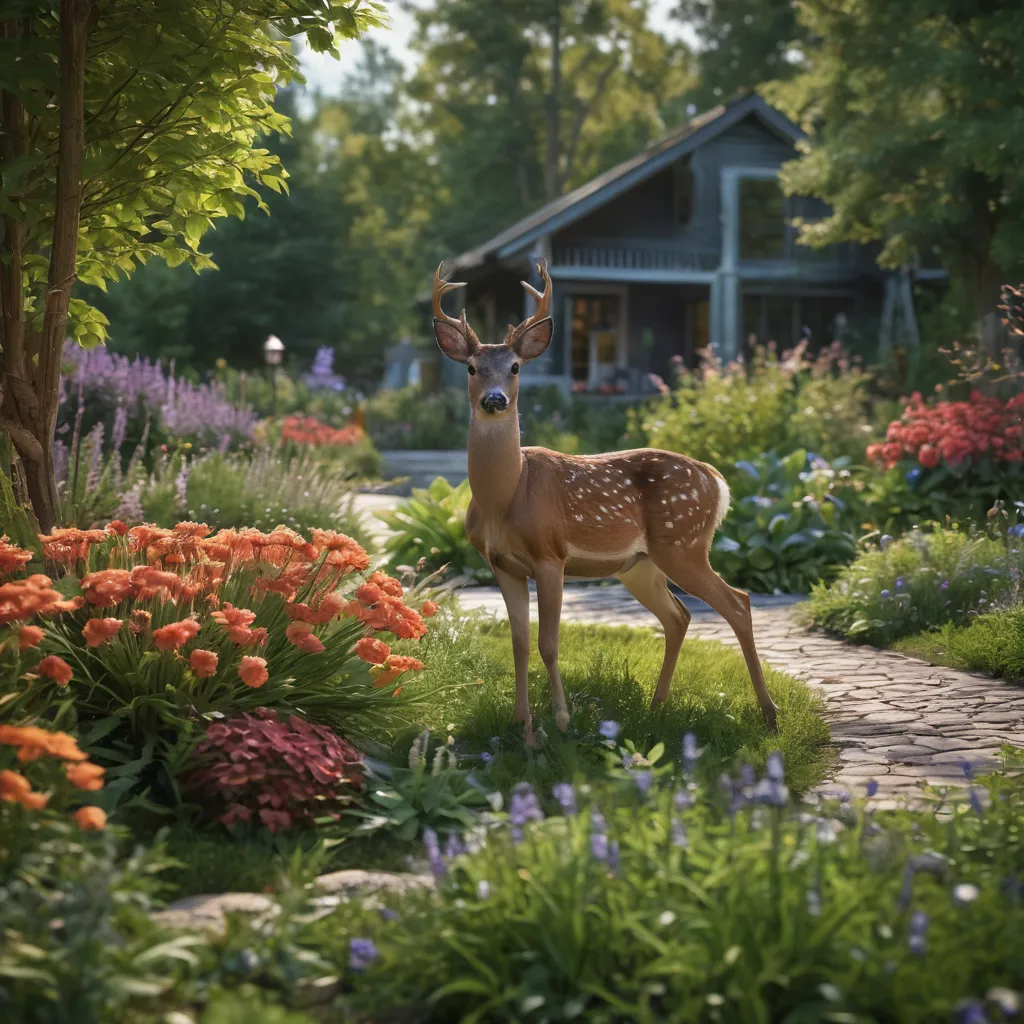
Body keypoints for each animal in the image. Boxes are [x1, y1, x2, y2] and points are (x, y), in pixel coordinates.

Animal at [432, 258, 779, 745]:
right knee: (679, 616)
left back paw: (769, 714)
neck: (506, 497)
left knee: (738, 602)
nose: (494, 399)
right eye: (471, 368)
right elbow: (518, 644)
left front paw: (561, 723)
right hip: (641, 564)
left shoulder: (550, 556)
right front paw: (524, 730)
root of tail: (716, 479)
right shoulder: (501, 563)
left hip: (683, 543)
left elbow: (548, 643)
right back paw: (657, 707)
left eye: (516, 368)